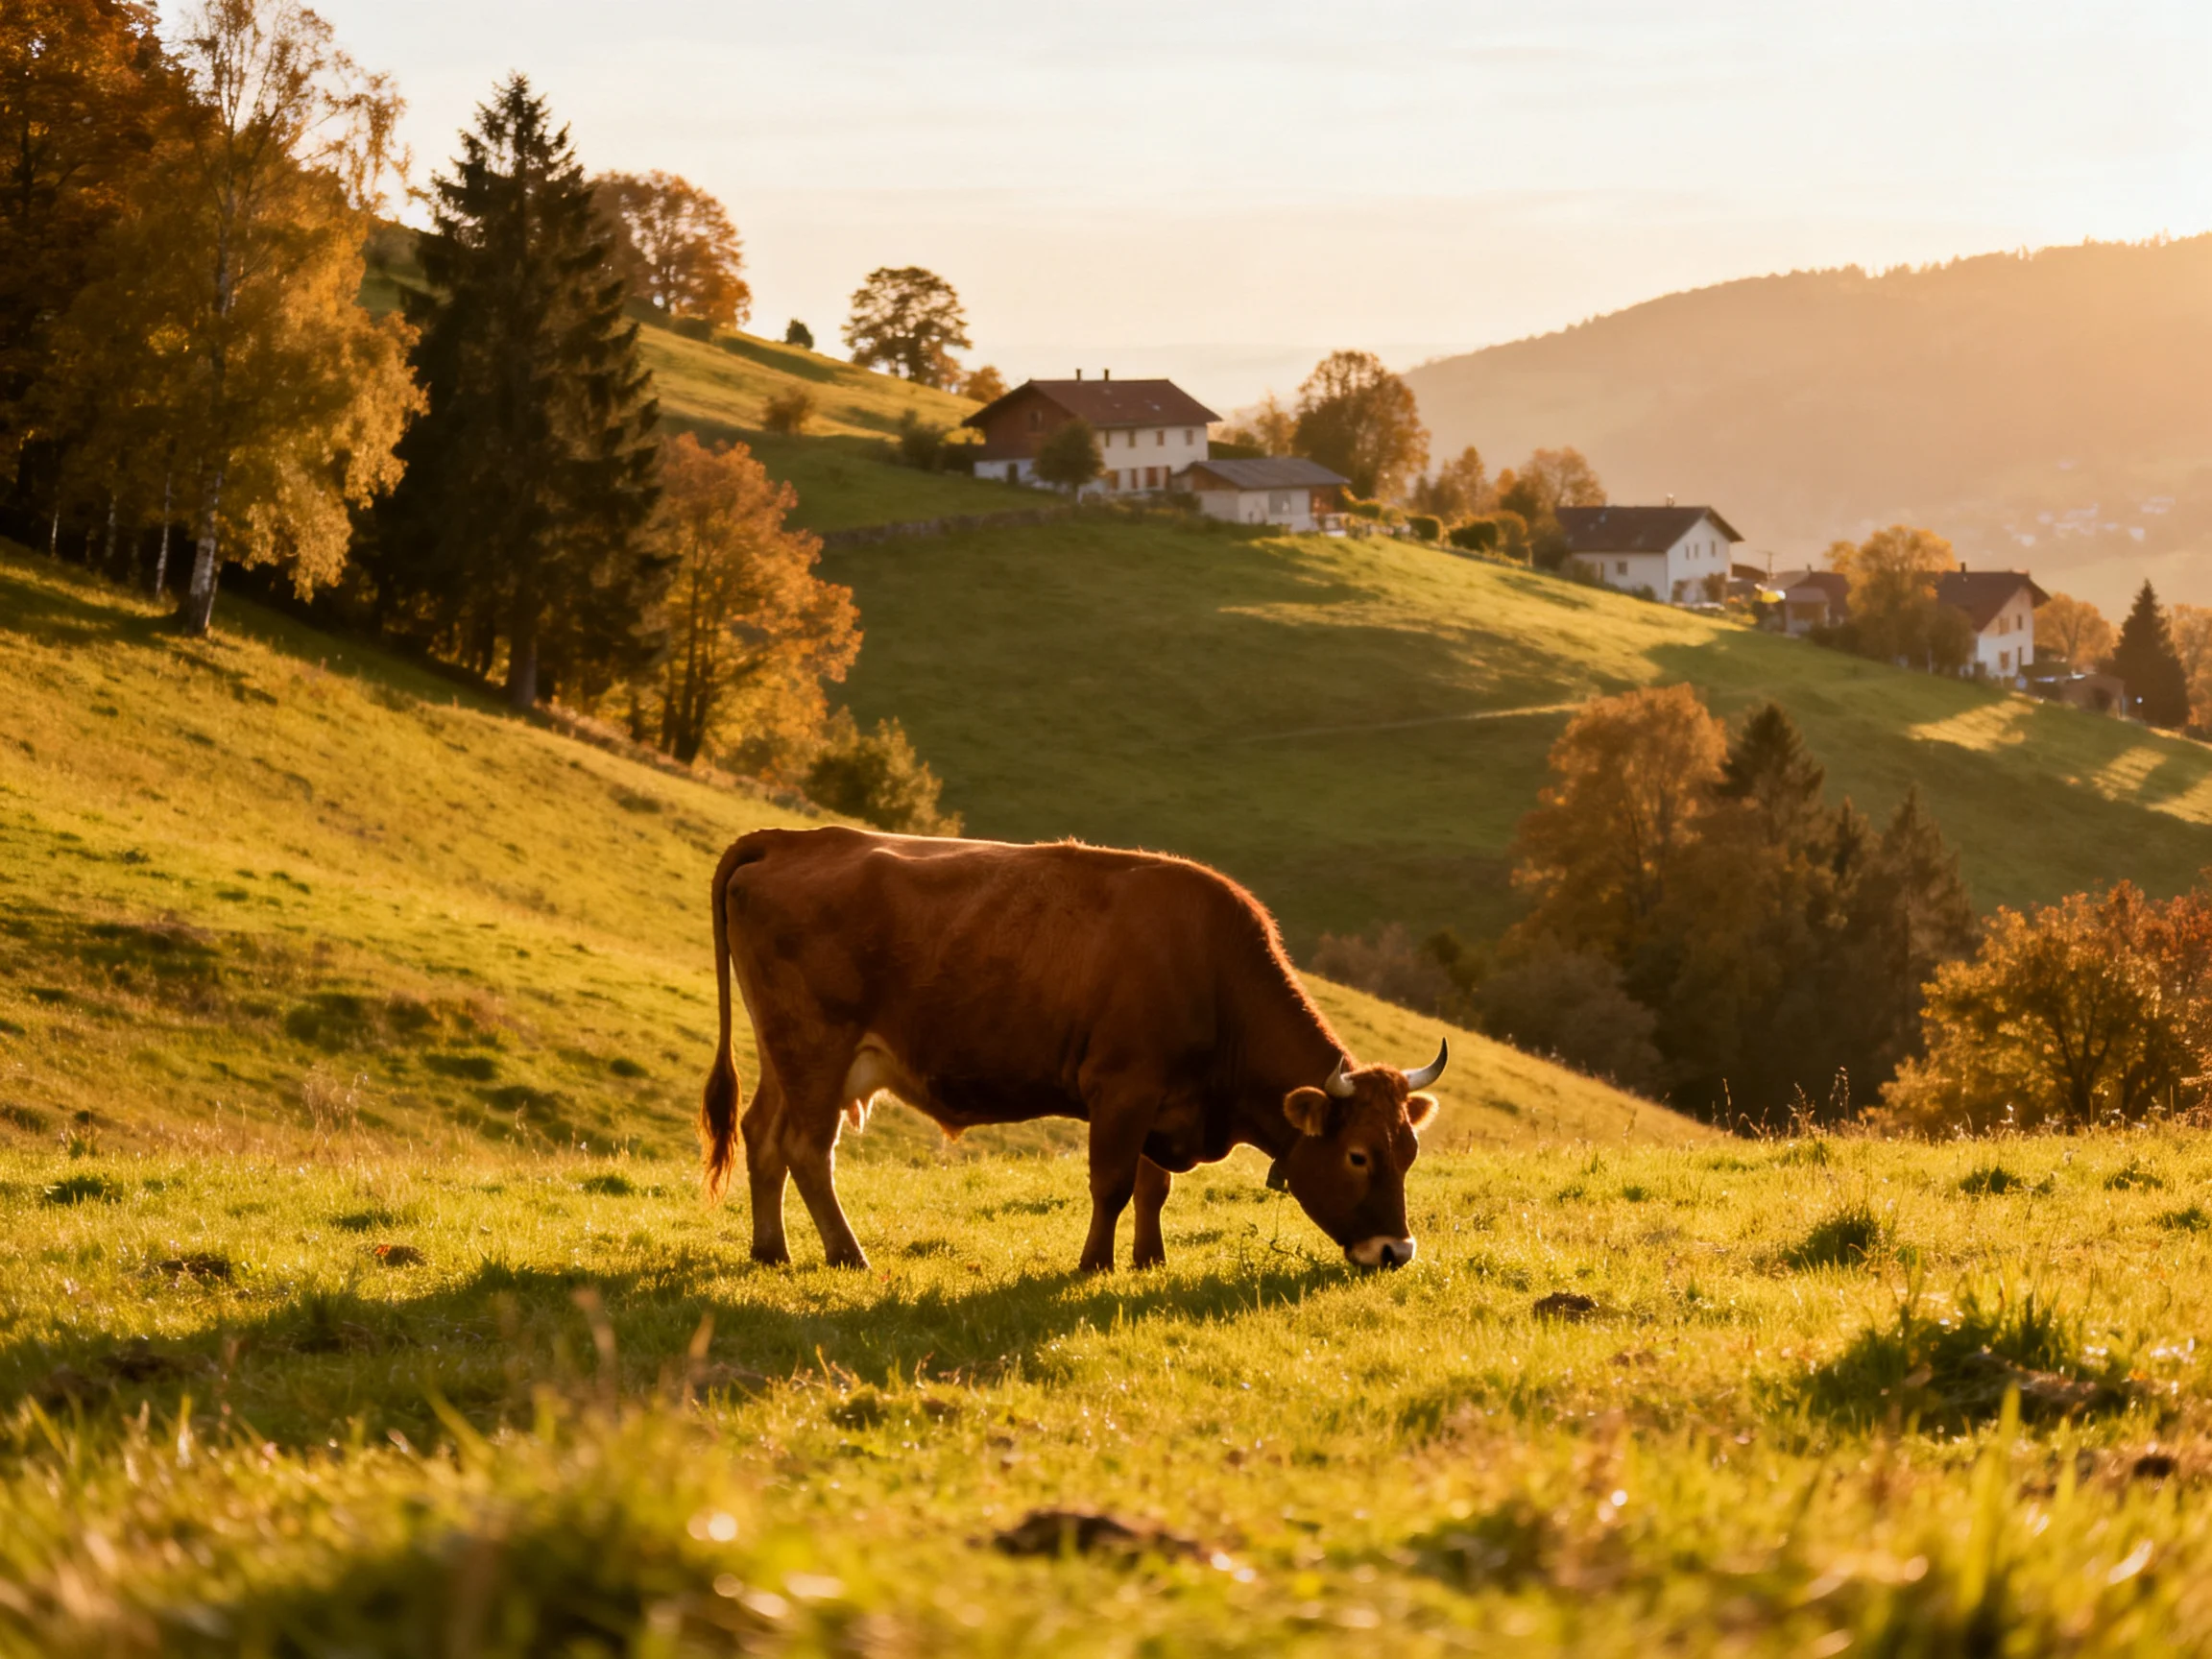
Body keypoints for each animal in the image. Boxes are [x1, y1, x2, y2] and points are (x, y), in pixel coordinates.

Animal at [699, 825, 1447, 1273]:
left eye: (1409, 1151)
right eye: (1358, 1156)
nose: (1396, 1251)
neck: (1209, 968)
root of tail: (793, 840)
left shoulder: (1158, 1104)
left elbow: (1153, 1186)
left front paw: (1150, 1260)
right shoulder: (1122, 1088)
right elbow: (1112, 1183)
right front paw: (1095, 1264)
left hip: (787, 1054)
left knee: (762, 1136)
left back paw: (770, 1251)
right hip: (815, 1046)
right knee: (807, 1150)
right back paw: (848, 1254)